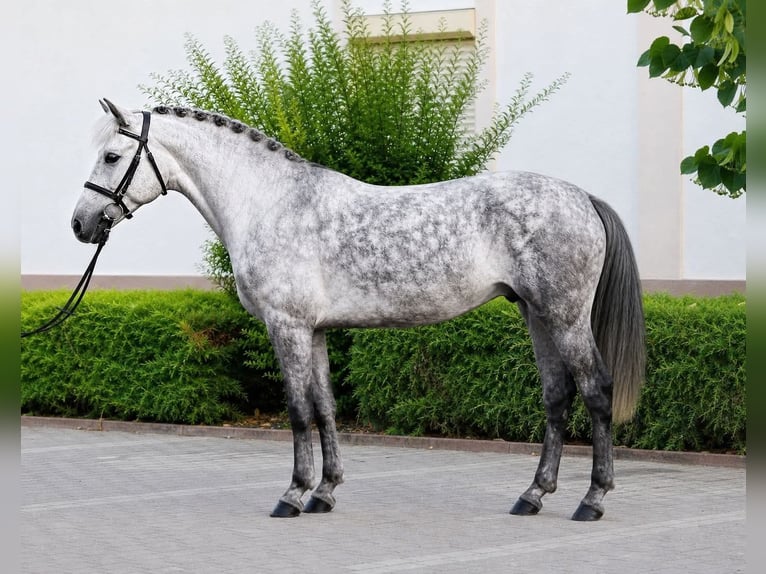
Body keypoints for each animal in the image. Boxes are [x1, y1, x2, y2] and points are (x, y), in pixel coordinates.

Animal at [72, 99, 645, 521]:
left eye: (111, 157)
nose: (81, 224)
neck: (270, 203)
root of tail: (582, 197)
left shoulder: (287, 327)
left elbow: (298, 410)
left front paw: (292, 495)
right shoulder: (316, 331)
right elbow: (325, 406)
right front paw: (324, 493)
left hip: (565, 317)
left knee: (595, 391)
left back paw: (591, 500)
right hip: (536, 315)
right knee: (556, 397)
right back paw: (532, 495)